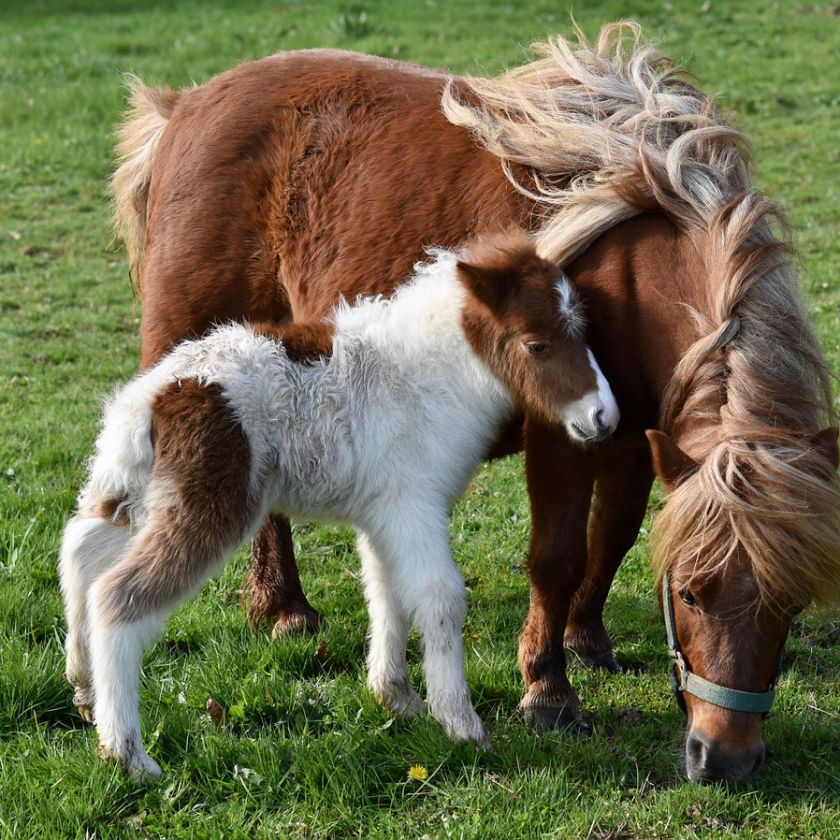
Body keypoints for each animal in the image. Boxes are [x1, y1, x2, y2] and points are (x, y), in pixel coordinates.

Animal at [59, 233, 619, 779]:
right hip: (212, 505)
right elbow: (440, 598)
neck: (427, 376)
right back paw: (128, 754)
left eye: (584, 332)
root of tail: (150, 400)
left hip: (130, 490)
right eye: (537, 344)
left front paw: (397, 698)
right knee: (118, 596)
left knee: (80, 551)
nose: (604, 417)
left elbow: (386, 593)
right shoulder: (414, 506)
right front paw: (461, 723)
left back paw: (84, 690)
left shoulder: (383, 516)